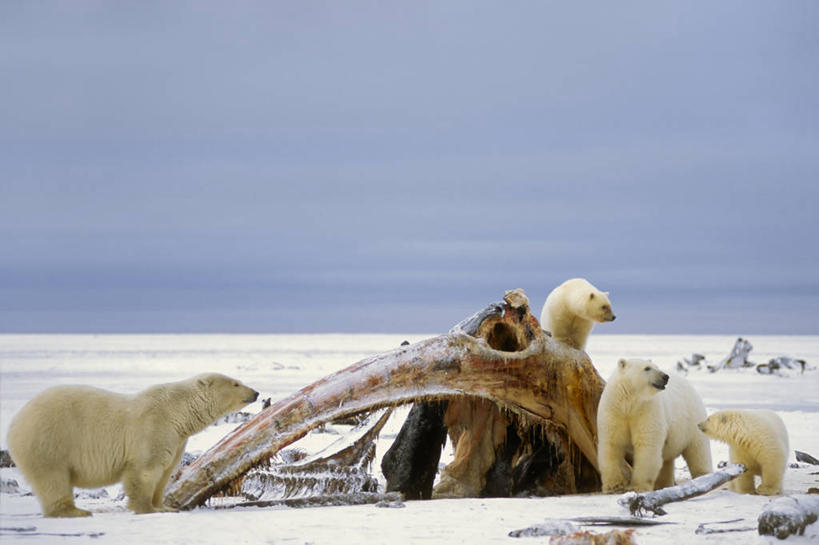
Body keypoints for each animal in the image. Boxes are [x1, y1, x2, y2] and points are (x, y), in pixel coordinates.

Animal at [5, 372, 256, 516]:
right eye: (235, 383)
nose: (255, 392)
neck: (177, 410)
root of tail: (15, 423)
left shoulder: (176, 439)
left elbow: (165, 473)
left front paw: (164, 506)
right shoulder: (153, 427)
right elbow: (146, 471)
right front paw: (146, 509)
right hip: (49, 439)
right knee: (53, 478)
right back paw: (74, 511)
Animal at [596, 356, 712, 492]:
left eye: (657, 366)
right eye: (647, 368)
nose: (665, 376)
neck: (630, 403)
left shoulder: (647, 409)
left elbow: (647, 445)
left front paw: (638, 487)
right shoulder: (614, 411)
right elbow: (612, 444)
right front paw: (613, 485)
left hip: (692, 420)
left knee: (698, 450)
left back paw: (703, 475)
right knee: (667, 460)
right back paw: (664, 484)